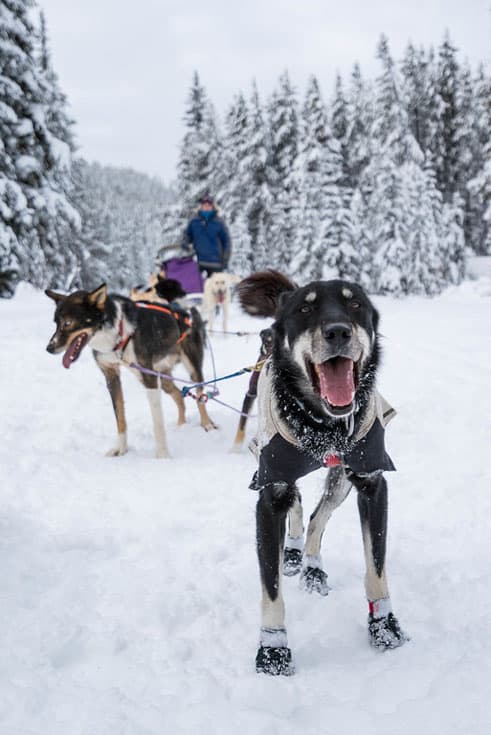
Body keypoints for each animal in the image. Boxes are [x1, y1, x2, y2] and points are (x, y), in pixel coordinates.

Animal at [46, 284, 217, 458]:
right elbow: (120, 417)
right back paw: (181, 425)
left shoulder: (149, 379)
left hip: (192, 368)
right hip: (162, 378)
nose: (49, 348)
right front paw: (121, 449)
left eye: (68, 322)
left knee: (199, 395)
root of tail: (187, 312)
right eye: (56, 323)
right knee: (178, 395)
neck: (116, 335)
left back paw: (207, 423)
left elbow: (157, 421)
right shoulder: (111, 376)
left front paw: (162, 454)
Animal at [236, 272, 410, 680]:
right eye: (304, 309)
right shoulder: (270, 493)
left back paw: (312, 568)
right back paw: (293, 554)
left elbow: (376, 567)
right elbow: (271, 588)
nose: (337, 331)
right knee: (299, 506)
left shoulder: (372, 482)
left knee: (317, 518)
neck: (321, 425)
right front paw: (273, 651)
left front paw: (384, 626)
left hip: (341, 480)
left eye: (355, 304)